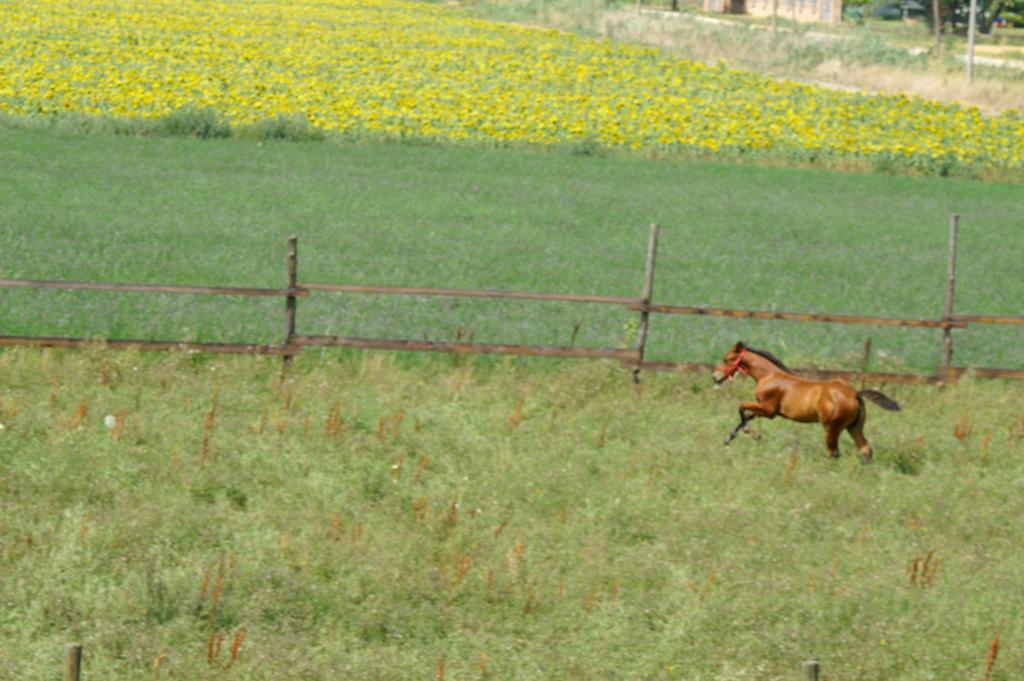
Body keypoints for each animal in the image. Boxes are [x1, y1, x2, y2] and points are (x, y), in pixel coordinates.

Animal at [716, 339, 901, 462]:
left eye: (727, 359)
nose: (715, 377)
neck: (769, 376)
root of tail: (854, 393)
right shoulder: (764, 410)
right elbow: (747, 415)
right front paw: (731, 437)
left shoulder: (768, 410)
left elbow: (741, 408)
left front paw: (752, 434)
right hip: (854, 427)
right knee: (865, 448)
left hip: (831, 428)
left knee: (834, 452)